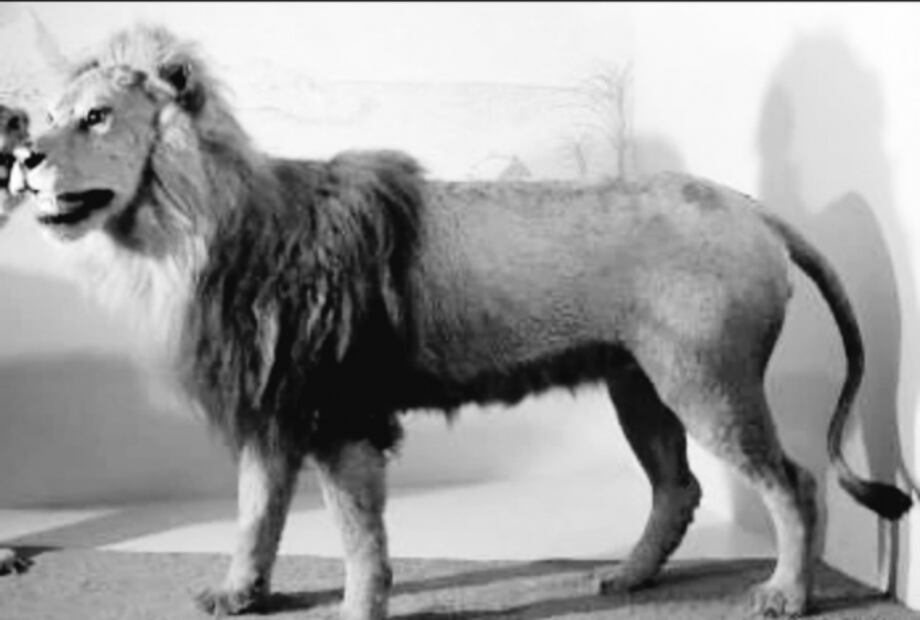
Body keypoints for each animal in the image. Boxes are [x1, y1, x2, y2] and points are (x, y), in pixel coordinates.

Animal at [15, 24, 912, 619]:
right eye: (47, 115)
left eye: (95, 117)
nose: (19, 155)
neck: (189, 234)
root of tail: (754, 208)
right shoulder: (275, 408)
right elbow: (253, 515)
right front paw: (239, 594)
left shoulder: (341, 412)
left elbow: (358, 536)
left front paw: (358, 609)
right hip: (642, 384)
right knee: (679, 486)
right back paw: (628, 580)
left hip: (710, 382)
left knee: (793, 484)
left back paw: (785, 594)